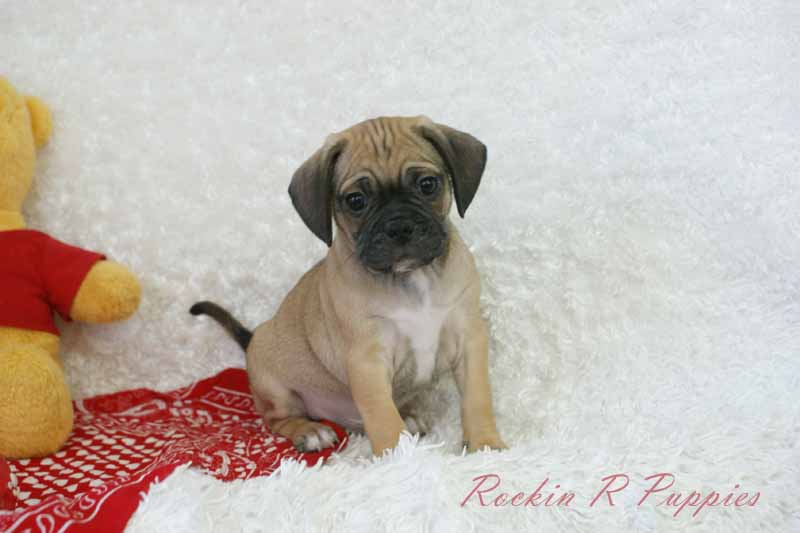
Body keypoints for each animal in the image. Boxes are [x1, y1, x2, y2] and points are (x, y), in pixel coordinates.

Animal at [191, 116, 506, 455]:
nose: (399, 226)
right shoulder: (368, 360)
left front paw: (485, 444)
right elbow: (383, 417)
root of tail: (251, 340)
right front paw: (401, 458)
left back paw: (409, 415)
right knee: (277, 419)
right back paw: (309, 430)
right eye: (356, 201)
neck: (411, 279)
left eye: (427, 185)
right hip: (276, 389)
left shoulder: (468, 340)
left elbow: (477, 400)